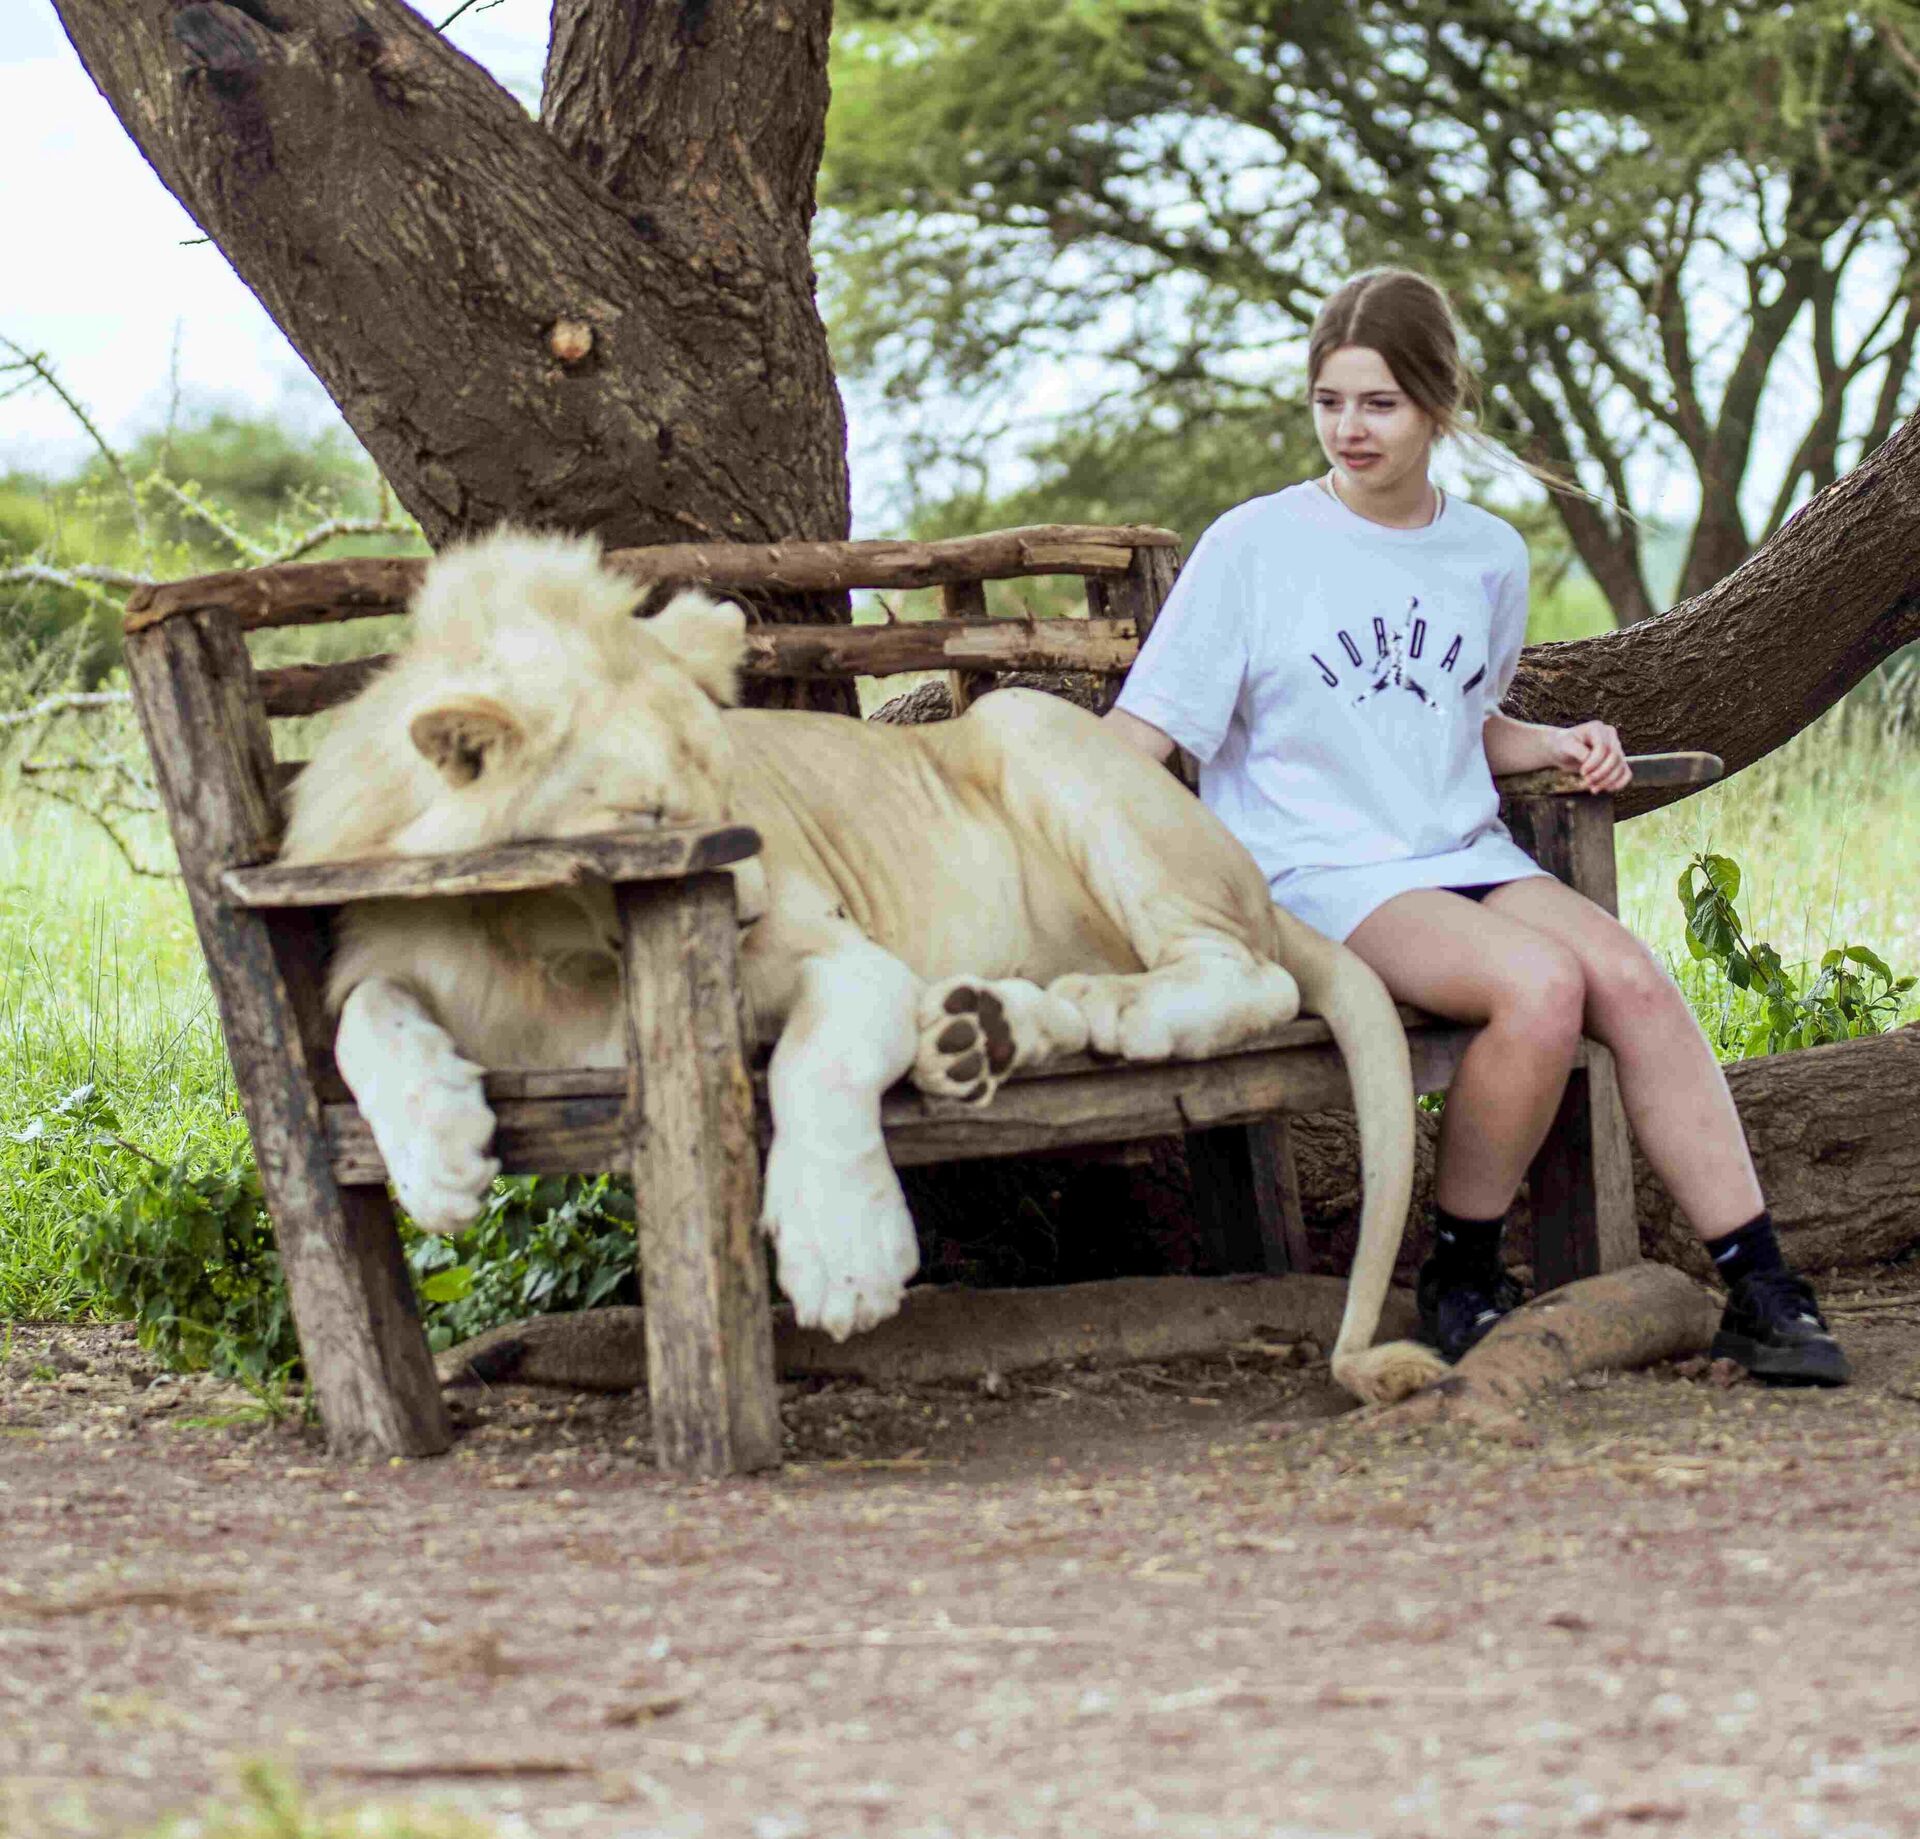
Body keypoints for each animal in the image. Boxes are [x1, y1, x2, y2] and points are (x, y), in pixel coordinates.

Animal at [280, 530, 1446, 1406]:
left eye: (731, 799)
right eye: (653, 820)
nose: (748, 917)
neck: (545, 949)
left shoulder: (845, 955)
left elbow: (820, 1065)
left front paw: (845, 1259)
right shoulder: (383, 948)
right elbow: (365, 1018)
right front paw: (439, 1159)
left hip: (1028, 726)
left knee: (1258, 975)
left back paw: (1112, 1014)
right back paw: (979, 1033)